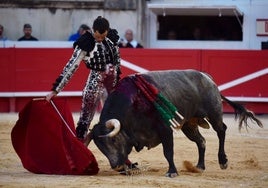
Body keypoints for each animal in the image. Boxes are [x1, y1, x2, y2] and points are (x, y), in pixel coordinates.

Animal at [87, 69, 262, 178]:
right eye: (100, 147)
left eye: (113, 139)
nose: (116, 166)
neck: (133, 104)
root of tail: (206, 77)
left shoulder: (165, 129)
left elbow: (168, 152)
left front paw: (172, 172)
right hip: (189, 125)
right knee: (201, 141)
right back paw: (199, 166)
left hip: (214, 114)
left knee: (221, 131)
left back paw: (223, 161)